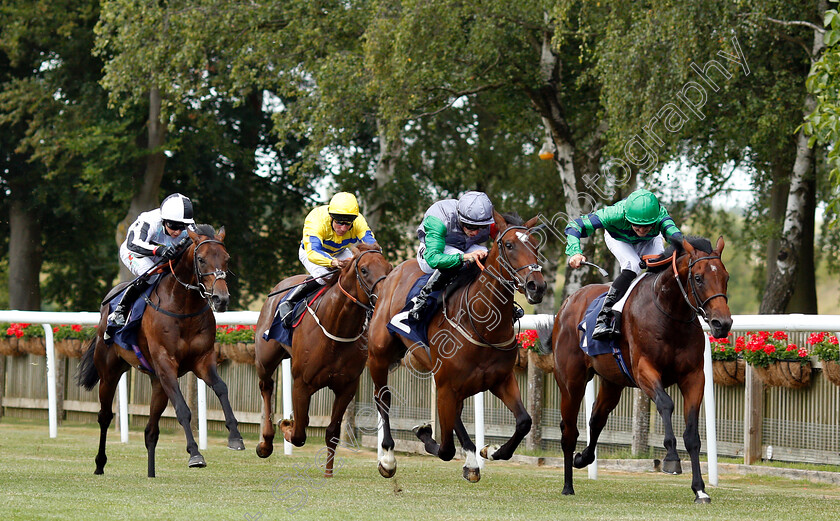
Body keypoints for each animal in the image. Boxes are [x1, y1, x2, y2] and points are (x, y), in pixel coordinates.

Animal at [78, 223, 246, 476]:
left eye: (227, 259)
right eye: (201, 259)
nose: (221, 298)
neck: (184, 307)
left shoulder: (202, 360)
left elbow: (221, 388)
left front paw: (235, 436)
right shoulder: (166, 364)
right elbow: (183, 410)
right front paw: (195, 454)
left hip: (157, 383)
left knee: (150, 431)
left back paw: (151, 473)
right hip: (109, 372)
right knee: (105, 416)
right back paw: (99, 464)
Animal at [254, 244, 392, 476]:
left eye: (389, 269)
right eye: (364, 270)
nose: (384, 299)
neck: (337, 329)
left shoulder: (347, 387)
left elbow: (332, 432)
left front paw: (328, 473)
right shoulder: (301, 384)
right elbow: (298, 434)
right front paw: (286, 425)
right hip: (265, 360)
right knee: (266, 388)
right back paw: (265, 443)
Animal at [368, 210, 544, 480]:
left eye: (535, 245)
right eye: (509, 245)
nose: (537, 286)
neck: (482, 326)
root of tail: (392, 274)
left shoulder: (501, 380)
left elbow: (524, 421)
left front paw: (491, 451)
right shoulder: (446, 385)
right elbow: (446, 449)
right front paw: (423, 433)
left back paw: (471, 459)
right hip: (379, 356)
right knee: (383, 398)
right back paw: (387, 457)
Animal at [552, 237, 728, 504]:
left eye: (726, 277)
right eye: (698, 278)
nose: (722, 323)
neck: (669, 315)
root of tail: (568, 303)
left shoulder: (694, 376)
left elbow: (692, 436)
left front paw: (700, 489)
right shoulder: (644, 370)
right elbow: (666, 403)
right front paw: (671, 459)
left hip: (612, 383)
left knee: (596, 418)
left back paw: (583, 458)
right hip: (571, 382)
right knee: (569, 430)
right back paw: (567, 485)